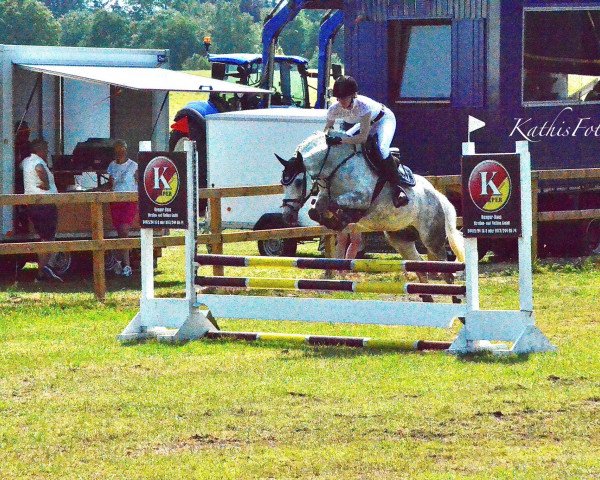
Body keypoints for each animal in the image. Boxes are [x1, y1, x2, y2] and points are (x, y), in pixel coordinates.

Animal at [274, 129, 466, 298]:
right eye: (282, 183)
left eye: (299, 182)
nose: (287, 216)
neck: (336, 166)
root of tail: (439, 196)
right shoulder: (323, 198)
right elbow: (315, 210)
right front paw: (334, 222)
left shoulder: (362, 198)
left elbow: (337, 205)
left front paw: (344, 219)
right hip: (400, 239)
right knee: (420, 268)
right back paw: (426, 297)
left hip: (431, 238)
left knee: (446, 272)